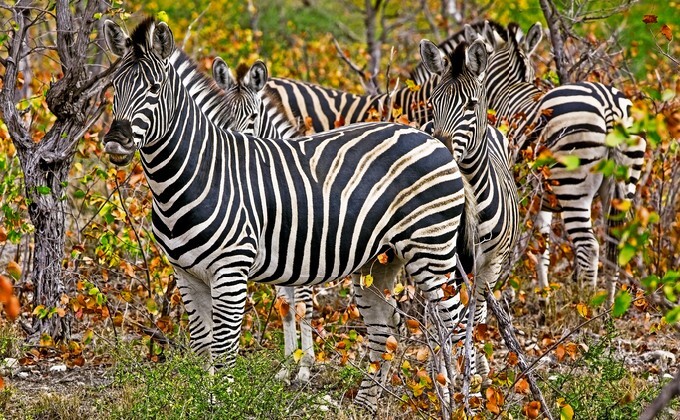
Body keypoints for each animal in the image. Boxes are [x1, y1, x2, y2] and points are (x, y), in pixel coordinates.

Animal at [211, 57, 314, 384]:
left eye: (254, 116)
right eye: (222, 116)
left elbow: (304, 306)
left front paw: (305, 368)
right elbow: (285, 307)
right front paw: (286, 366)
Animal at [419, 38, 520, 380]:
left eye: (470, 105)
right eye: (433, 103)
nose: (440, 150)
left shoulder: (491, 262)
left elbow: (475, 313)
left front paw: (473, 372)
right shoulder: (448, 258)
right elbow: (454, 314)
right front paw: (461, 368)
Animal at [473, 21, 646, 300]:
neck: (511, 90)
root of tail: (610, 106)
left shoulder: (516, 191)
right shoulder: (542, 197)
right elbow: (542, 247)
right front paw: (544, 298)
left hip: (573, 185)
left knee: (589, 247)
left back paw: (587, 306)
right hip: (625, 182)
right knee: (614, 245)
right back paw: (609, 307)